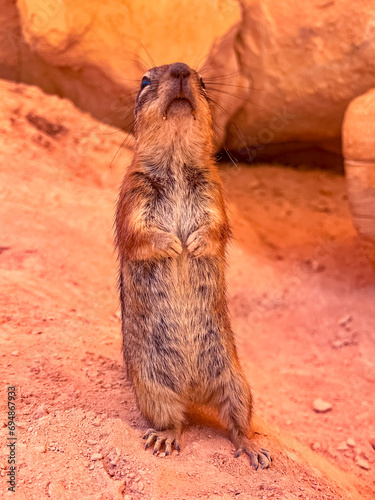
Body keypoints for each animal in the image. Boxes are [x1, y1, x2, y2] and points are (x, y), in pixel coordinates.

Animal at [114, 61, 270, 468]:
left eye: (201, 80)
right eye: (144, 80)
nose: (182, 69)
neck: (175, 160)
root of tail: (193, 391)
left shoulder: (214, 190)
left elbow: (217, 227)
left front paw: (194, 245)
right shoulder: (132, 193)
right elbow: (137, 232)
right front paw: (173, 245)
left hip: (238, 384)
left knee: (237, 426)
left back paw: (255, 451)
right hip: (153, 389)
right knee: (175, 422)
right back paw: (164, 439)